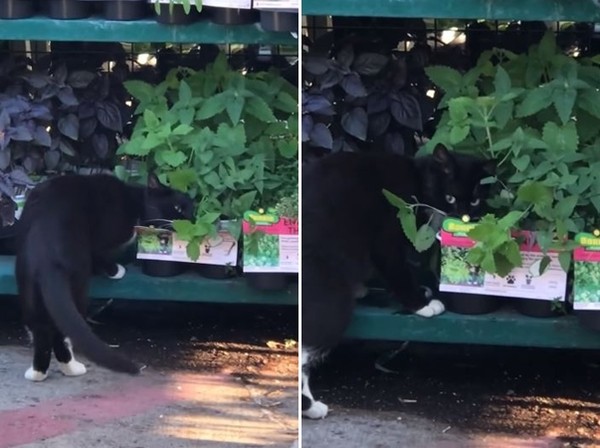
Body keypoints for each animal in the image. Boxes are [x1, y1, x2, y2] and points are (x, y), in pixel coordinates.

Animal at [14, 174, 192, 382]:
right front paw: (117, 271)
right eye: (178, 208)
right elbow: (99, 255)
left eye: (193, 209)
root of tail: (46, 257)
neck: (136, 202)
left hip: (27, 286)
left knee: (40, 328)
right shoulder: (103, 238)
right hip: (78, 279)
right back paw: (72, 369)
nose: (192, 220)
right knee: (61, 331)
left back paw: (38, 373)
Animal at [302, 145, 494, 418]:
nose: (463, 218)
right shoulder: (389, 233)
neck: (418, 179)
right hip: (329, 293)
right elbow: (396, 270)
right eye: (450, 198)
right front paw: (422, 305)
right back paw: (311, 407)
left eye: (475, 200)